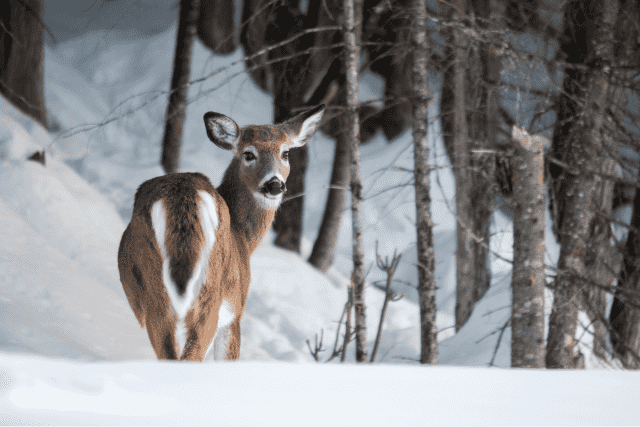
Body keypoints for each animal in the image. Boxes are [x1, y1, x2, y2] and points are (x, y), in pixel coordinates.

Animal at [117, 105, 325, 361]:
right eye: (248, 154)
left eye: (285, 153)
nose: (274, 184)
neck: (243, 237)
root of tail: (182, 197)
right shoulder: (234, 313)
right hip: (210, 294)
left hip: (152, 290)